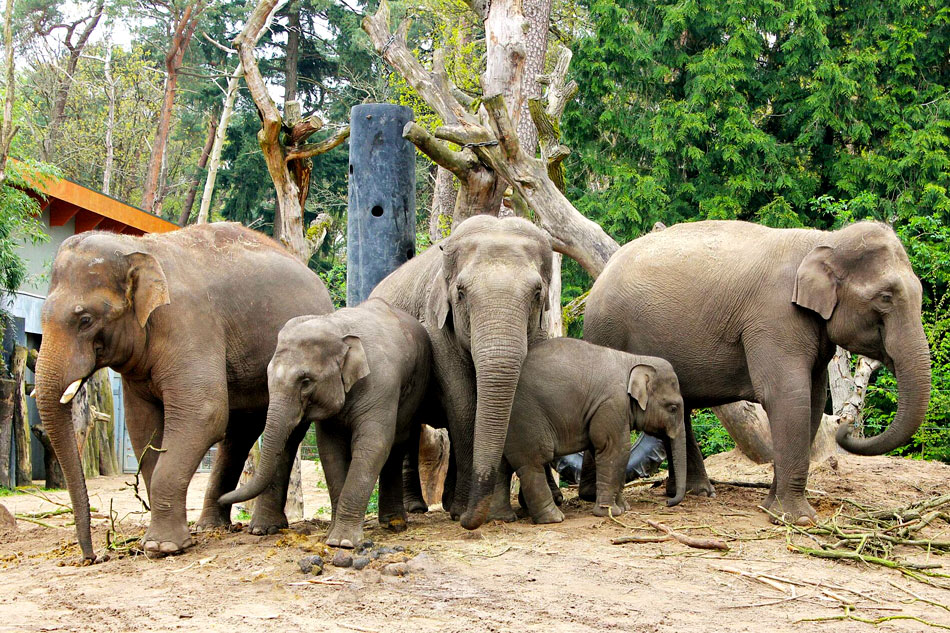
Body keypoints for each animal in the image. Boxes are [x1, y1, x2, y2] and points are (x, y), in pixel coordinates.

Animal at [33, 222, 334, 556]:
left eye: (85, 319)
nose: (92, 557)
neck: (137, 248)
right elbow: (143, 427)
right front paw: (158, 541)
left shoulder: (189, 324)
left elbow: (203, 414)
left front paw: (162, 547)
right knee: (239, 433)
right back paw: (211, 526)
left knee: (280, 433)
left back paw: (263, 529)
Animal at [219, 298, 432, 544]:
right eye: (268, 377)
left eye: (306, 381)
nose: (223, 498)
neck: (337, 327)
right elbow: (330, 450)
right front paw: (331, 536)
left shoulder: (381, 384)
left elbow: (373, 444)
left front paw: (343, 542)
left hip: (416, 387)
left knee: (397, 444)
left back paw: (394, 524)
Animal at [370, 214, 556, 528]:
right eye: (460, 292)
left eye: (537, 293)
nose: (470, 520)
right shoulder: (436, 330)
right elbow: (464, 403)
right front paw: (468, 512)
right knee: (411, 427)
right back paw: (419, 507)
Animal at [494, 336, 688, 524]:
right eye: (673, 408)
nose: (668, 501)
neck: (633, 360)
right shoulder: (612, 403)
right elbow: (616, 449)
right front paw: (609, 512)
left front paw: (623, 508)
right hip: (526, 418)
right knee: (533, 463)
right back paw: (553, 518)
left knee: (503, 466)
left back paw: (504, 517)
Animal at [584, 220, 932, 524]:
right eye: (885, 297)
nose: (846, 427)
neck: (823, 240)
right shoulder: (775, 318)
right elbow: (787, 396)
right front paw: (799, 519)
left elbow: (813, 399)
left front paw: (772, 508)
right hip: (607, 330)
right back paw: (594, 497)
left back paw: (694, 493)